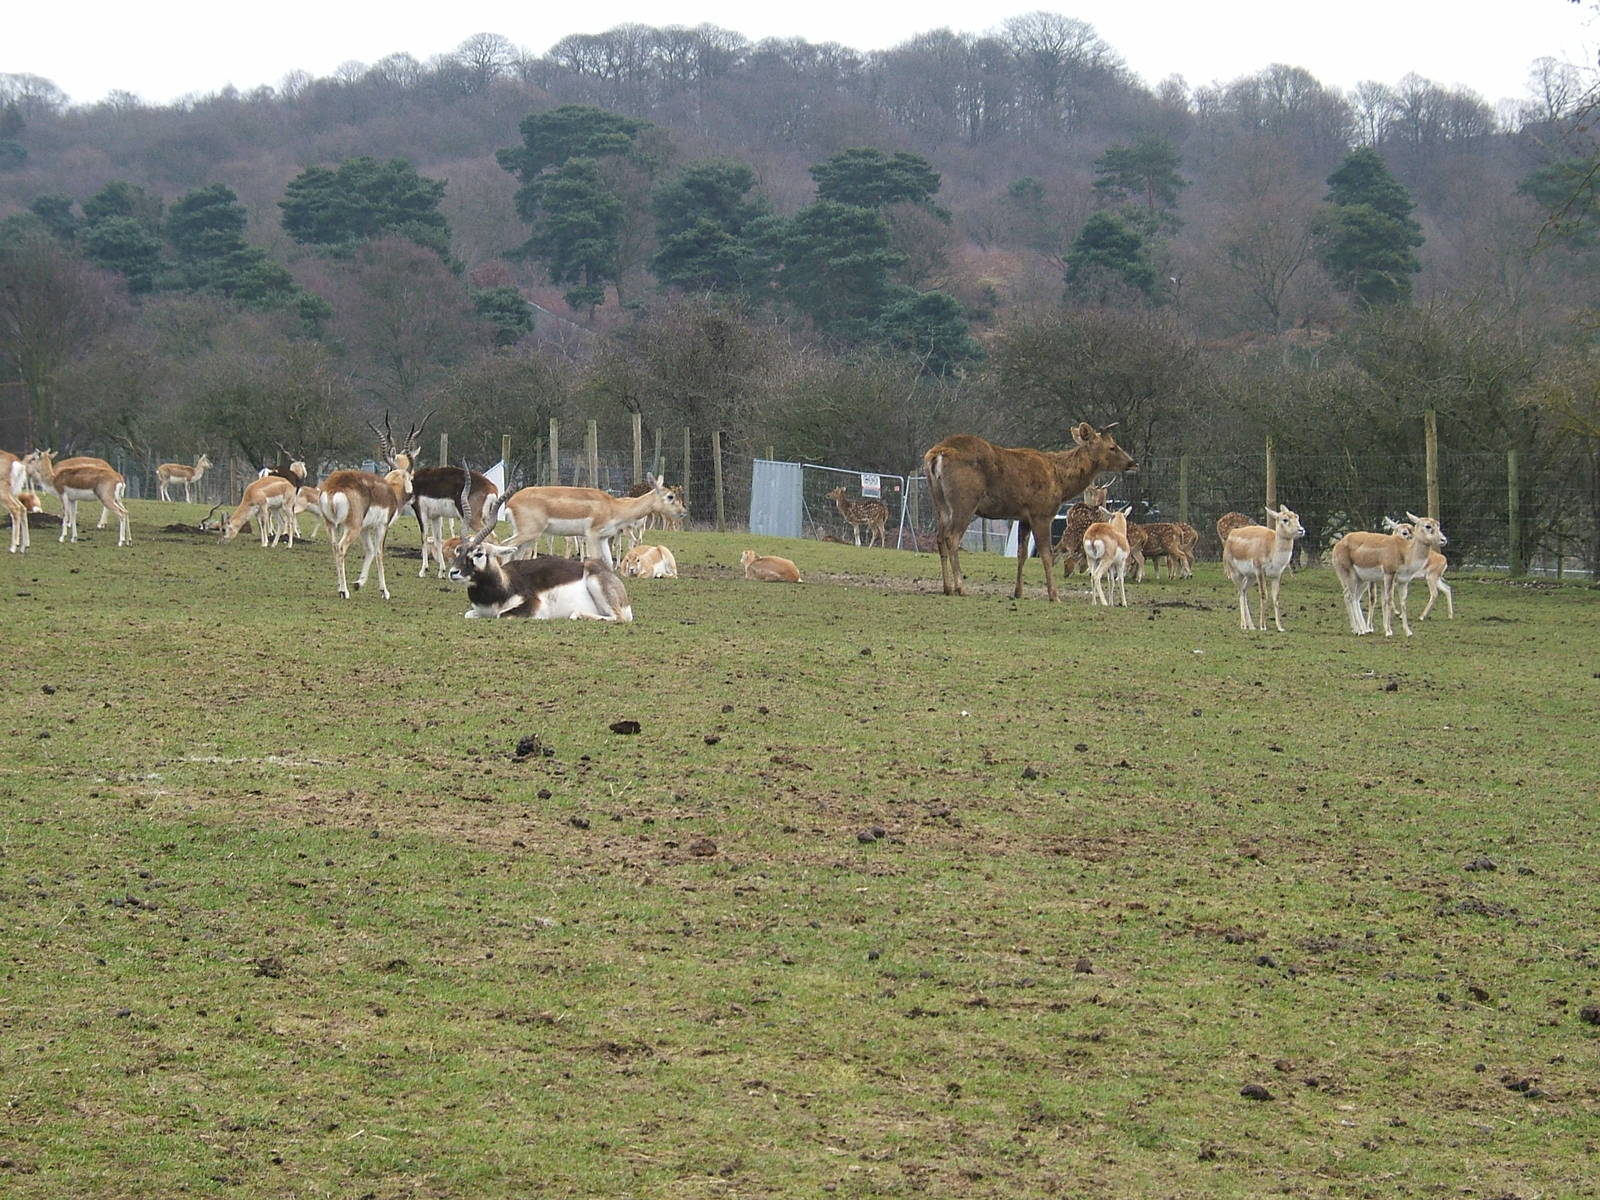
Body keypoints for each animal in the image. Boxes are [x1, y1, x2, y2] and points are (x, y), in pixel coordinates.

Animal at [317, 458, 415, 600]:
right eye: (411, 478)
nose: (412, 497)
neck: (392, 492)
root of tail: (335, 485)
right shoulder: (382, 526)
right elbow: (379, 553)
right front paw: (384, 591)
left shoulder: (365, 529)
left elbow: (370, 550)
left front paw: (358, 583)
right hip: (352, 528)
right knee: (341, 548)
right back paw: (344, 591)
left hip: (331, 525)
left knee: (335, 548)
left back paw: (340, 588)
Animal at [449, 496, 633, 621]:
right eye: (458, 550)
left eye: (479, 553)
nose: (453, 572)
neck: (503, 586)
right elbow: (468, 614)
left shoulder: (533, 606)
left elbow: (501, 614)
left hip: (597, 587)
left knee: (619, 618)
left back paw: (577, 614)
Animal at [498, 476, 687, 567]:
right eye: (670, 496)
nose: (683, 512)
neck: (614, 507)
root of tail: (512, 502)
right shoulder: (592, 535)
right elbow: (594, 559)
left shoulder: (603, 538)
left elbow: (608, 563)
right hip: (528, 533)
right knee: (505, 545)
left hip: (527, 535)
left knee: (515, 552)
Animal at [923, 423, 1137, 602]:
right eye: (1112, 446)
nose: (1133, 462)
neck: (1060, 482)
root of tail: (936, 455)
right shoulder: (1041, 513)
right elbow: (1047, 553)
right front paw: (1054, 595)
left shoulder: (1023, 517)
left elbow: (1022, 553)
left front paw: (1018, 592)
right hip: (965, 500)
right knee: (952, 538)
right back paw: (960, 587)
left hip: (940, 503)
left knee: (940, 537)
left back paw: (947, 588)